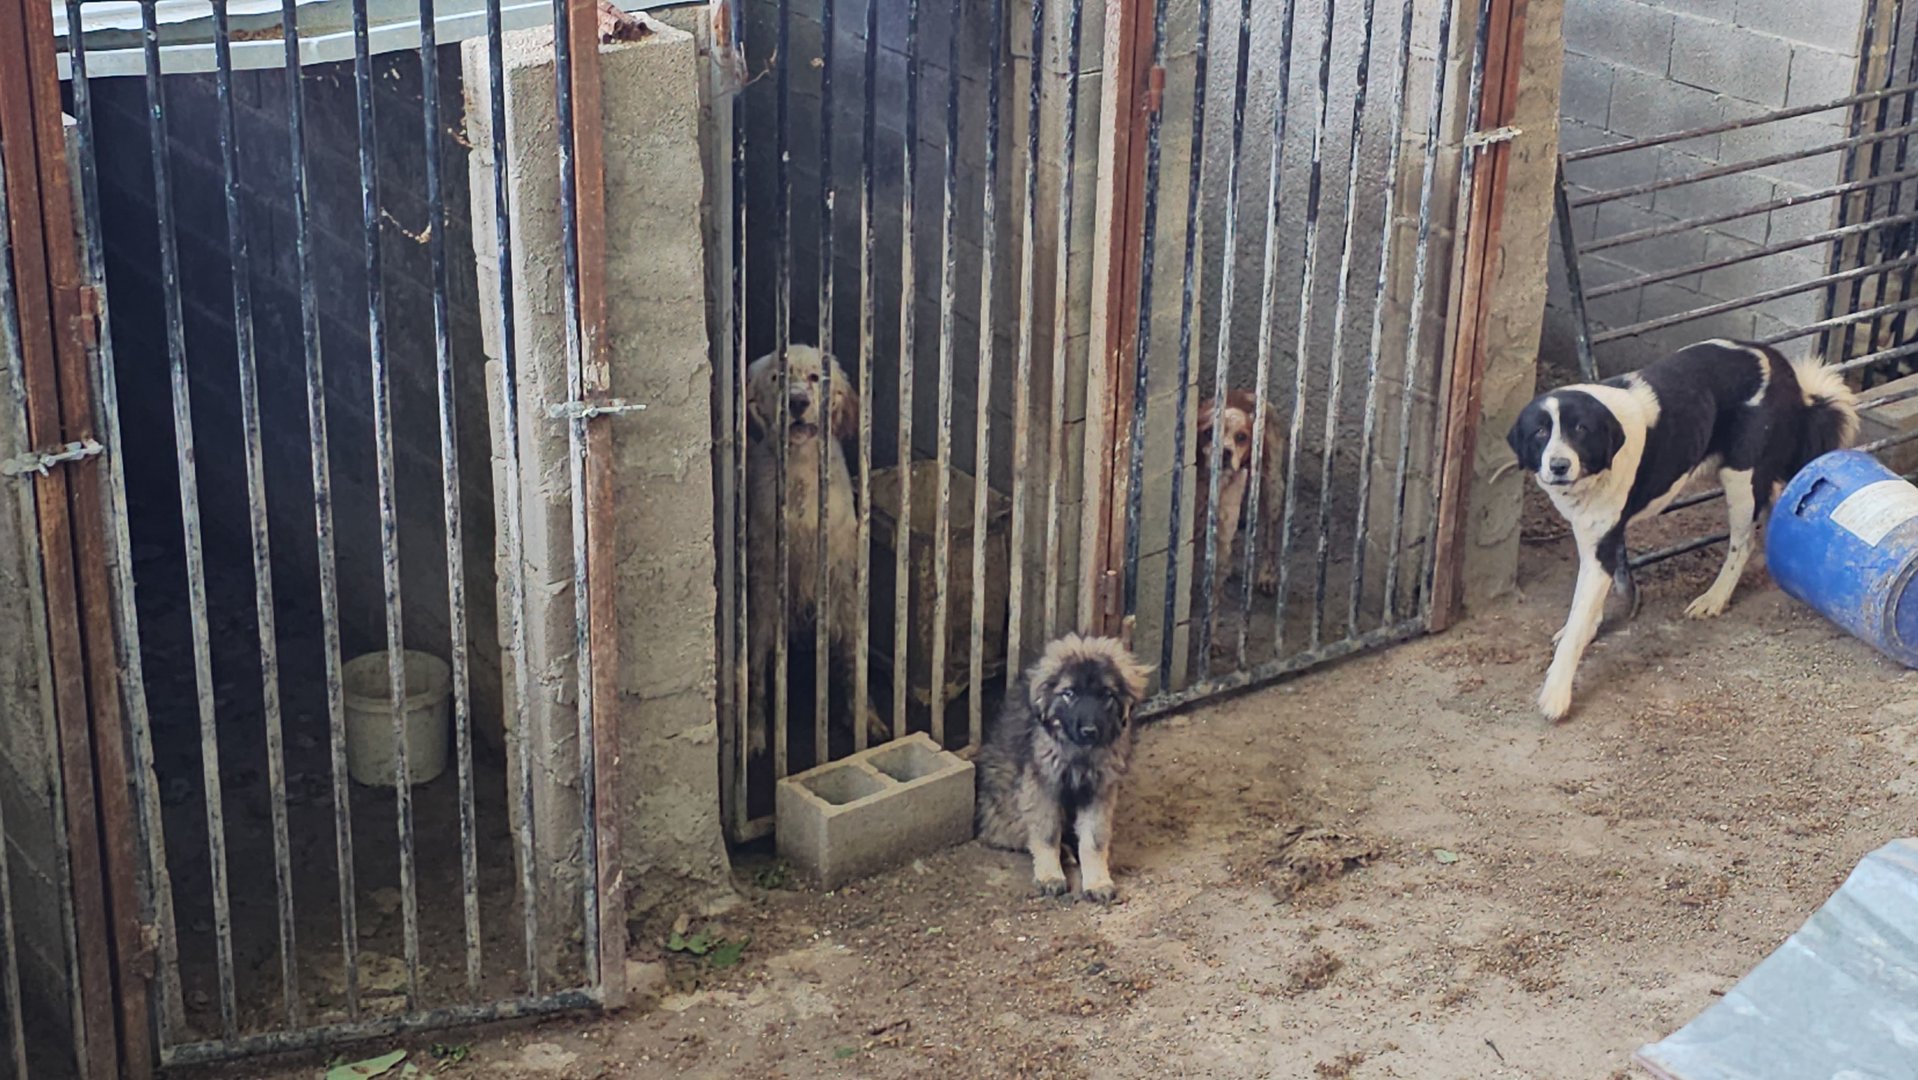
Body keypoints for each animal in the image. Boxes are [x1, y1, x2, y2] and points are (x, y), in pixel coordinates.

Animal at [740, 351, 882, 755]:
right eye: (777, 377)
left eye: (816, 377)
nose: (798, 402)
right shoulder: (765, 586)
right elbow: (756, 673)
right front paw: (755, 732)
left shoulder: (842, 579)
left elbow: (852, 659)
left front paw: (864, 717)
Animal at [982, 633, 1143, 905]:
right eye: (1069, 693)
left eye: (1106, 695)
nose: (1089, 731)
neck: (1079, 754)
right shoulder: (1041, 785)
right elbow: (1047, 834)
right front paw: (1050, 876)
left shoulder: (1099, 790)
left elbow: (1094, 840)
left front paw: (1097, 881)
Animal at [1189, 391, 1281, 598]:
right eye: (1209, 432)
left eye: (1241, 437)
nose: (1225, 452)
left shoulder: (1224, 524)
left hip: (1273, 490)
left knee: (1270, 535)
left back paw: (1268, 574)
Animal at [1511, 341, 1856, 721]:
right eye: (1540, 432)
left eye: (1580, 429)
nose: (1558, 466)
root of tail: (1780, 364)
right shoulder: (1592, 537)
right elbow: (1586, 608)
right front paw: (1588, 629)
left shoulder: (1603, 543)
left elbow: (1578, 623)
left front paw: (1556, 694)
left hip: (1740, 476)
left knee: (1743, 542)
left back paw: (1714, 598)